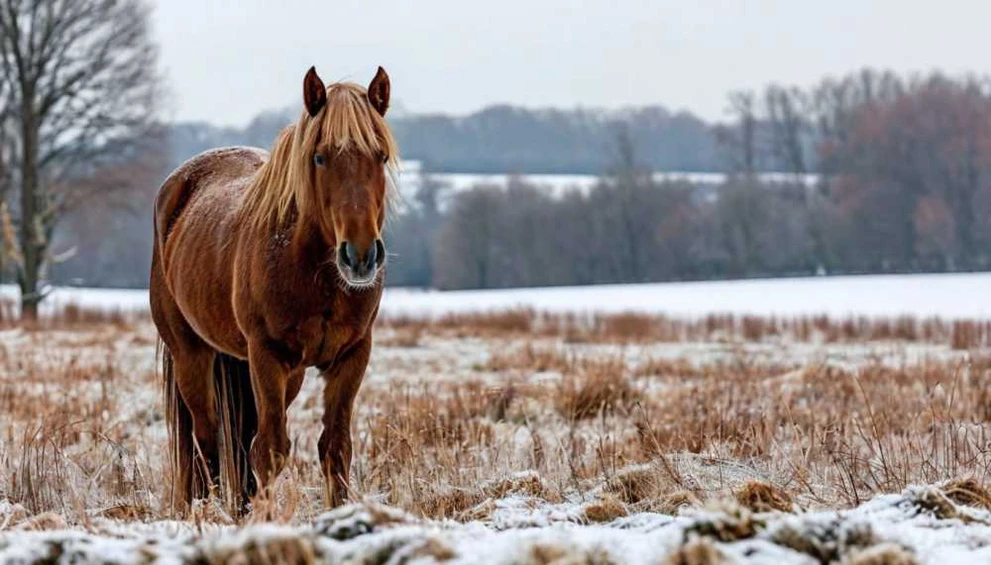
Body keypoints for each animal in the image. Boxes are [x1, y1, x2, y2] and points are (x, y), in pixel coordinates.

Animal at [150, 66, 397, 514]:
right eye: (319, 157)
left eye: (381, 156)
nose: (360, 256)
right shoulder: (267, 355)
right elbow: (270, 450)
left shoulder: (352, 356)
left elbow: (335, 447)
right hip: (192, 352)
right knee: (206, 440)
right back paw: (206, 512)